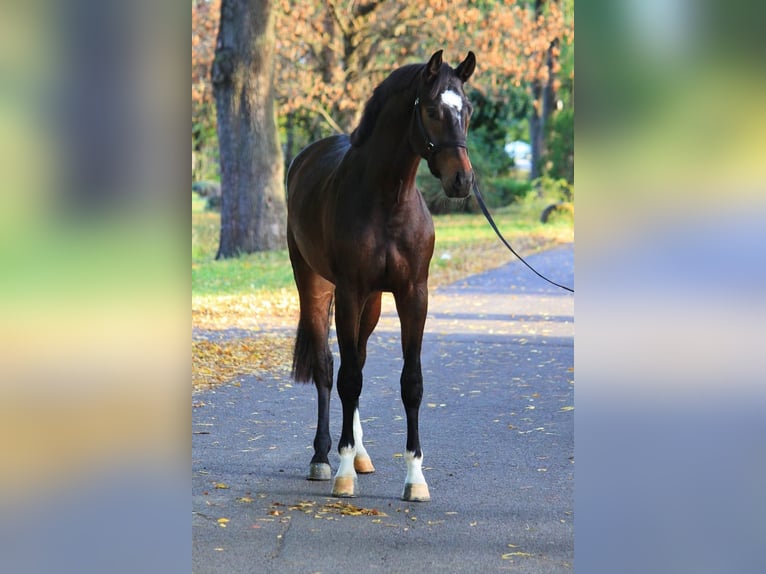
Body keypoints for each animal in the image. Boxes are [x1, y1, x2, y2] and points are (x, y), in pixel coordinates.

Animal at [284, 49, 474, 502]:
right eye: (432, 109)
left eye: (468, 110)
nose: (462, 180)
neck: (389, 200)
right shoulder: (350, 291)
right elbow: (348, 378)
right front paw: (342, 472)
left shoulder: (413, 295)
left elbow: (411, 383)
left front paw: (415, 478)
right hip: (315, 287)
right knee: (328, 367)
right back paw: (323, 457)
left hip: (371, 305)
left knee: (359, 357)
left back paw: (360, 453)